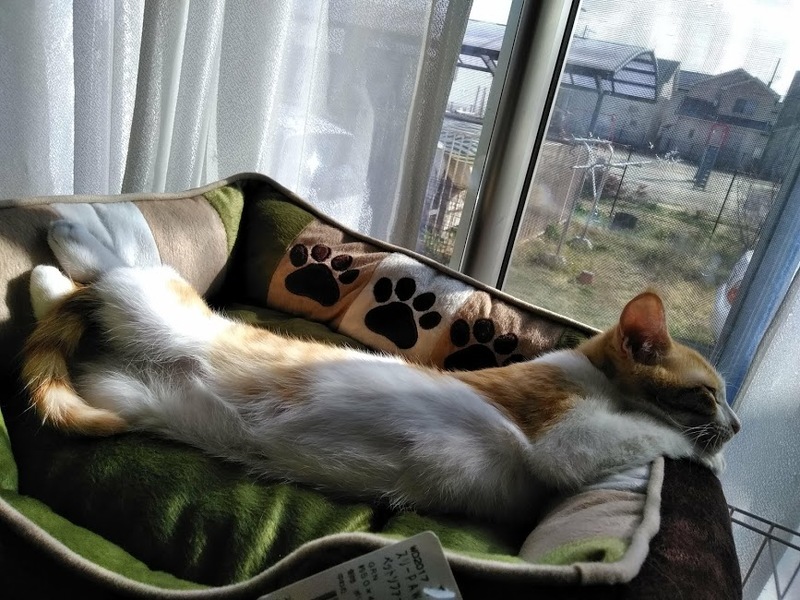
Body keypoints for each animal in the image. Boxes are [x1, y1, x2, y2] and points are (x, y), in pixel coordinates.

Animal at [21, 220, 740, 522]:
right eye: (709, 395)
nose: (735, 425)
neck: (585, 373)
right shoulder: (566, 436)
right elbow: (650, 433)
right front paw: (705, 454)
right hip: (158, 306)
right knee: (114, 270)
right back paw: (65, 236)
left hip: (119, 394)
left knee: (62, 304)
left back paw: (46, 275)